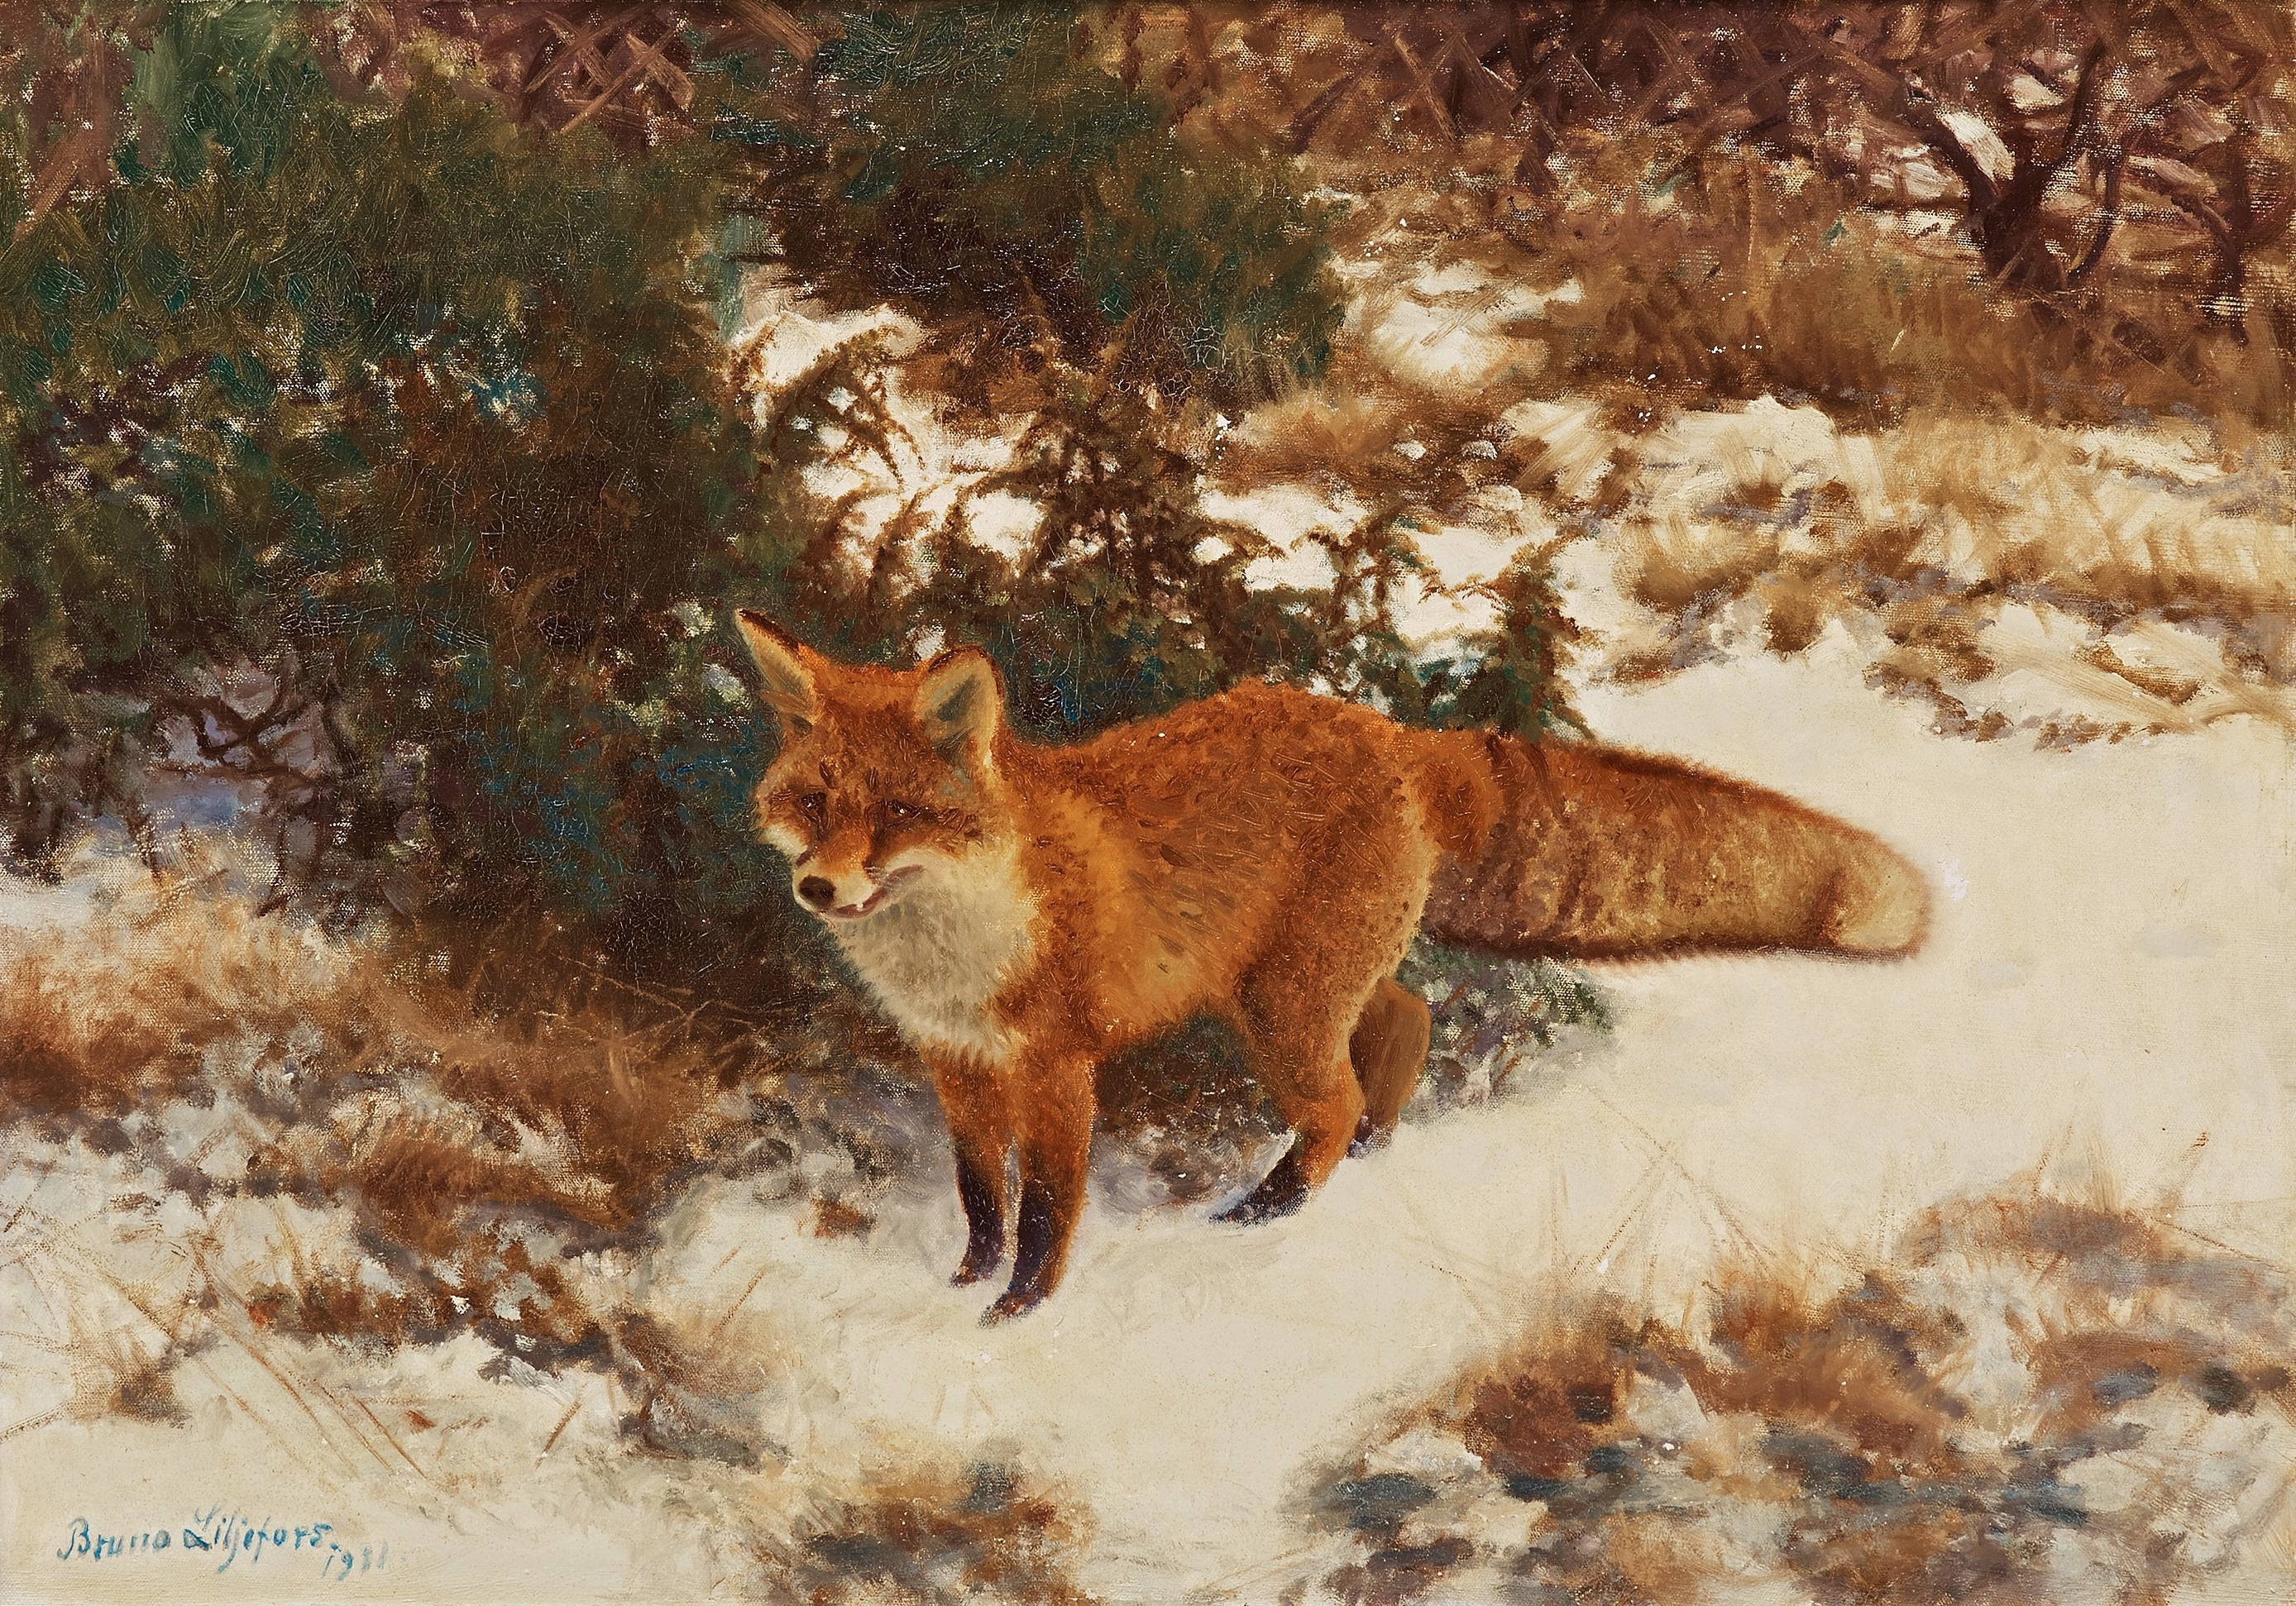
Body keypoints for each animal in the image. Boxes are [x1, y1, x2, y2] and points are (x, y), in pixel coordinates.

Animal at [734, 610, 1929, 1321]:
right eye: (814, 802)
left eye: (897, 813)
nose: (818, 890)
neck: (958, 940)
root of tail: (1388, 731)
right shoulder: (955, 1060)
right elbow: (980, 1193)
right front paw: (963, 1278)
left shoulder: (1058, 1064)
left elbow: (1044, 1210)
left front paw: (1015, 1310)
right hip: (1295, 986)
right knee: (1403, 1022)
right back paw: (1375, 1151)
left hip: (1280, 1007)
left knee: (1338, 1095)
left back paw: (1271, 1208)